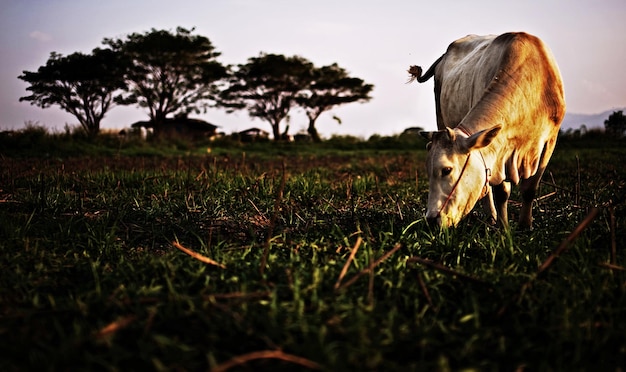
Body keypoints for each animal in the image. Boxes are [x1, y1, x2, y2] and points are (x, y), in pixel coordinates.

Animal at [408, 32, 564, 230]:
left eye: (446, 170)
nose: (431, 220)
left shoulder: (550, 140)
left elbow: (529, 189)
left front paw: (525, 225)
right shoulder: (499, 151)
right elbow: (501, 192)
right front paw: (503, 227)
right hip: (440, 115)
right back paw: (491, 217)